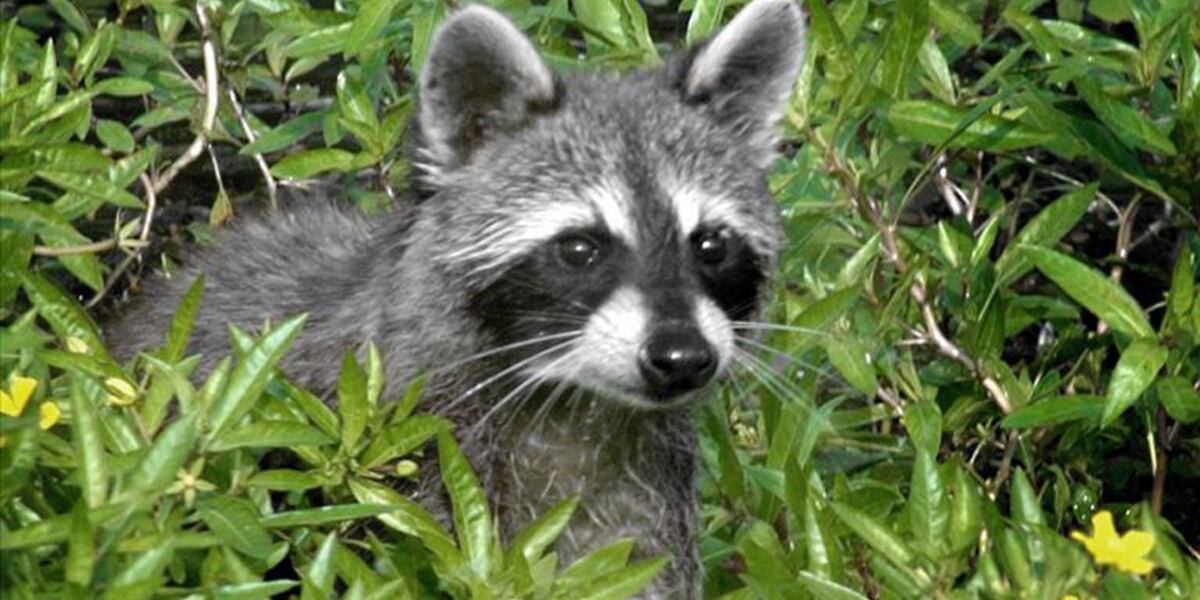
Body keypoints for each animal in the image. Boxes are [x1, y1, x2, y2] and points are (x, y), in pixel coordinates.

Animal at [107, 0, 805, 596]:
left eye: (710, 244)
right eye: (581, 247)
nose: (682, 356)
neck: (576, 404)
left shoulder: (644, 491)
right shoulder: (416, 456)